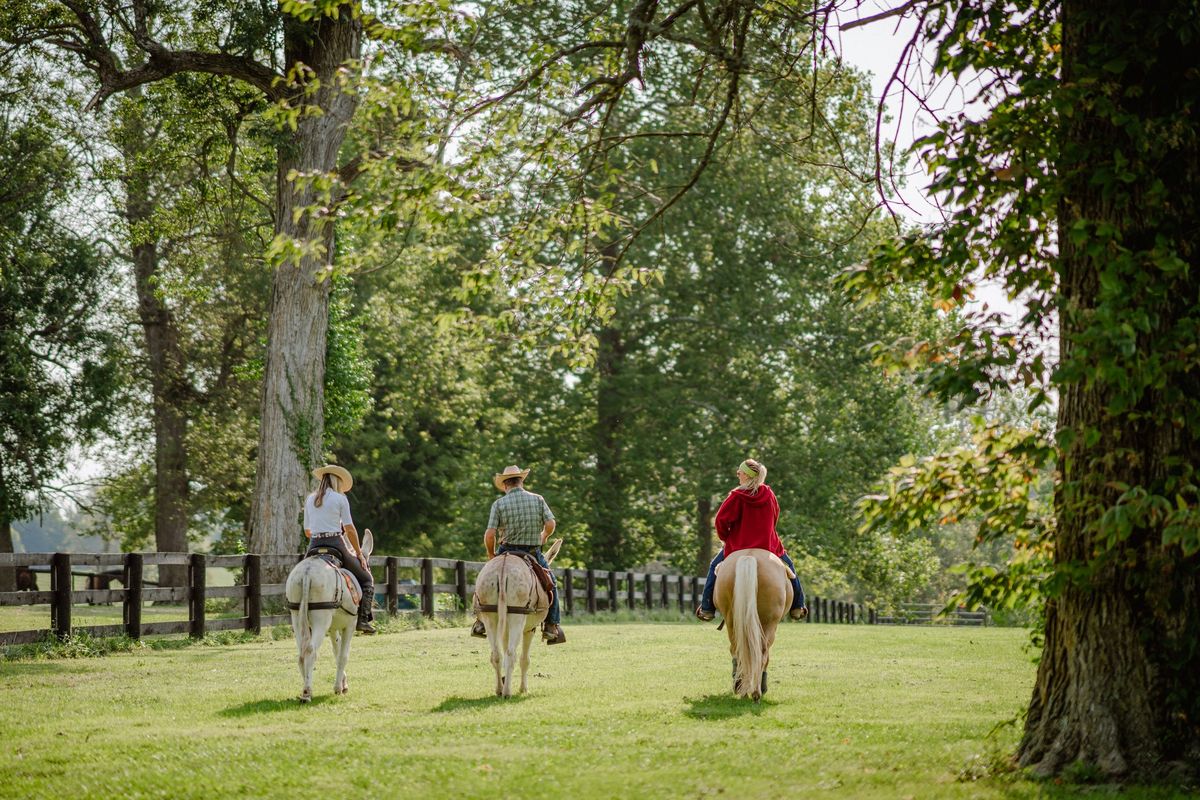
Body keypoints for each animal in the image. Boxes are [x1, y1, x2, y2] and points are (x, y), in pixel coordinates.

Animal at [284, 532, 372, 700]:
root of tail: (307, 571)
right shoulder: (349, 626)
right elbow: (343, 656)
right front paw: (338, 687)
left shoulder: (333, 629)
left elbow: (336, 653)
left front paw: (343, 684)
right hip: (321, 620)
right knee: (310, 650)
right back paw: (307, 692)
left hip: (297, 617)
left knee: (301, 653)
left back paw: (306, 687)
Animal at [470, 542, 559, 695]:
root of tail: (503, 569)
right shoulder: (529, 629)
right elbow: (524, 659)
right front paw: (523, 688)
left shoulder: (505, 629)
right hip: (518, 619)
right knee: (511, 654)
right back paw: (507, 692)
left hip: (490, 618)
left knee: (497, 655)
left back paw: (500, 689)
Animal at [715, 551, 792, 700]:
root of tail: (749, 556)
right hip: (769, 623)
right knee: (762, 652)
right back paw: (756, 691)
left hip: (732, 621)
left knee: (738, 649)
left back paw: (741, 687)